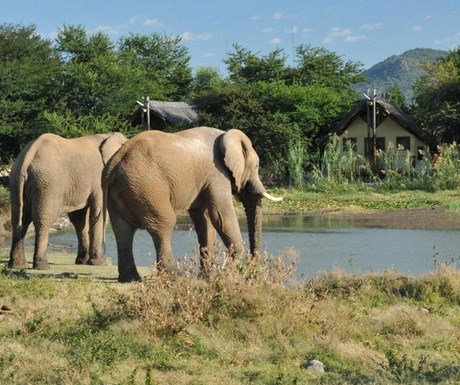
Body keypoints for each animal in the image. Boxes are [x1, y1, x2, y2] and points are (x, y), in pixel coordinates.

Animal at [8, 130, 127, 268]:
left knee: (19, 220)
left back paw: (18, 265)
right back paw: (43, 266)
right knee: (42, 220)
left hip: (16, 181)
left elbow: (79, 219)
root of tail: (28, 155)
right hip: (47, 185)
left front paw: (82, 262)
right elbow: (98, 213)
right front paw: (101, 263)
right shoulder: (99, 180)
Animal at [103, 124, 282, 280]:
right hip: (148, 188)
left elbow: (204, 220)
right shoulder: (217, 173)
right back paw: (175, 276)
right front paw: (227, 276)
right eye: (257, 166)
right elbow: (221, 216)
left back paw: (131, 279)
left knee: (122, 230)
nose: (253, 275)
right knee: (163, 224)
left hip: (119, 192)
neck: (225, 135)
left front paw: (208, 278)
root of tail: (115, 164)